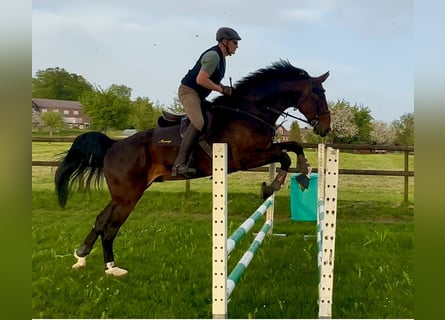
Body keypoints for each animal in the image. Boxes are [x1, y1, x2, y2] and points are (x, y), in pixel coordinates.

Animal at [54, 60, 330, 276]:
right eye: (320, 95)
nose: (326, 128)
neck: (250, 111)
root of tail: (113, 146)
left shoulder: (264, 149)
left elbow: (293, 146)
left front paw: (301, 173)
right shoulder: (247, 157)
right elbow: (285, 155)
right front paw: (274, 185)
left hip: (124, 195)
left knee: (102, 221)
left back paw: (86, 257)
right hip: (128, 196)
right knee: (110, 226)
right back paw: (110, 266)